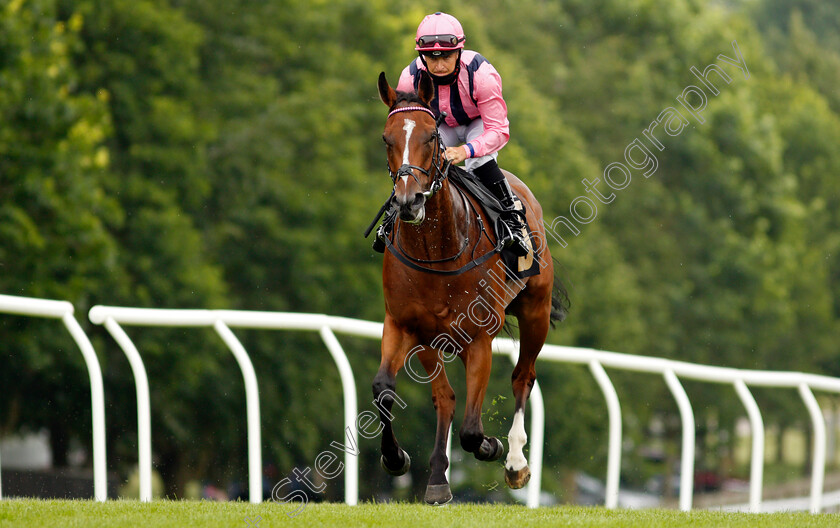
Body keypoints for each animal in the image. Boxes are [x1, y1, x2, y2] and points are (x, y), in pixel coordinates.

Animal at [372, 69, 564, 504]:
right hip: (433, 339)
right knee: (444, 398)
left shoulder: (479, 337)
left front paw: (493, 448)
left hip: (535, 311)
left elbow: (473, 431)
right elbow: (385, 388)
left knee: (523, 376)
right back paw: (437, 479)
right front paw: (395, 457)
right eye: (387, 139)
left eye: (431, 136)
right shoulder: (404, 325)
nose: (408, 201)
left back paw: (515, 462)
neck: (436, 249)